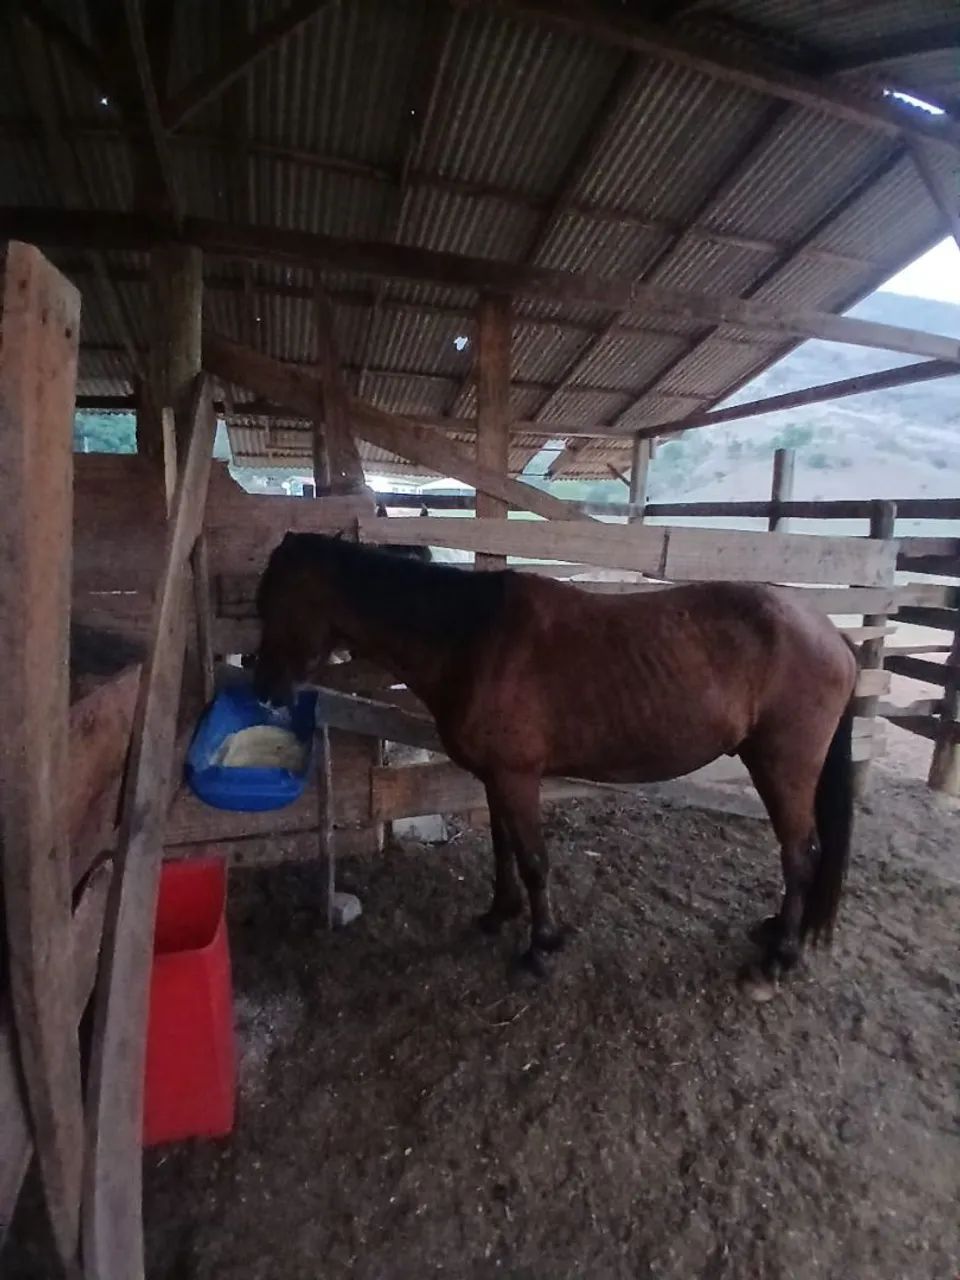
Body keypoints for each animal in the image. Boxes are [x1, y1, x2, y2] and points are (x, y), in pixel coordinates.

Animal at [253, 532, 857, 986]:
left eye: (278, 601)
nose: (266, 689)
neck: (474, 640)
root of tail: (833, 635)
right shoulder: (494, 777)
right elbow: (503, 848)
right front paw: (500, 913)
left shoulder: (518, 778)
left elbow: (534, 860)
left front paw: (540, 947)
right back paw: (775, 930)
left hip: (782, 768)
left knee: (800, 854)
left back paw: (779, 957)